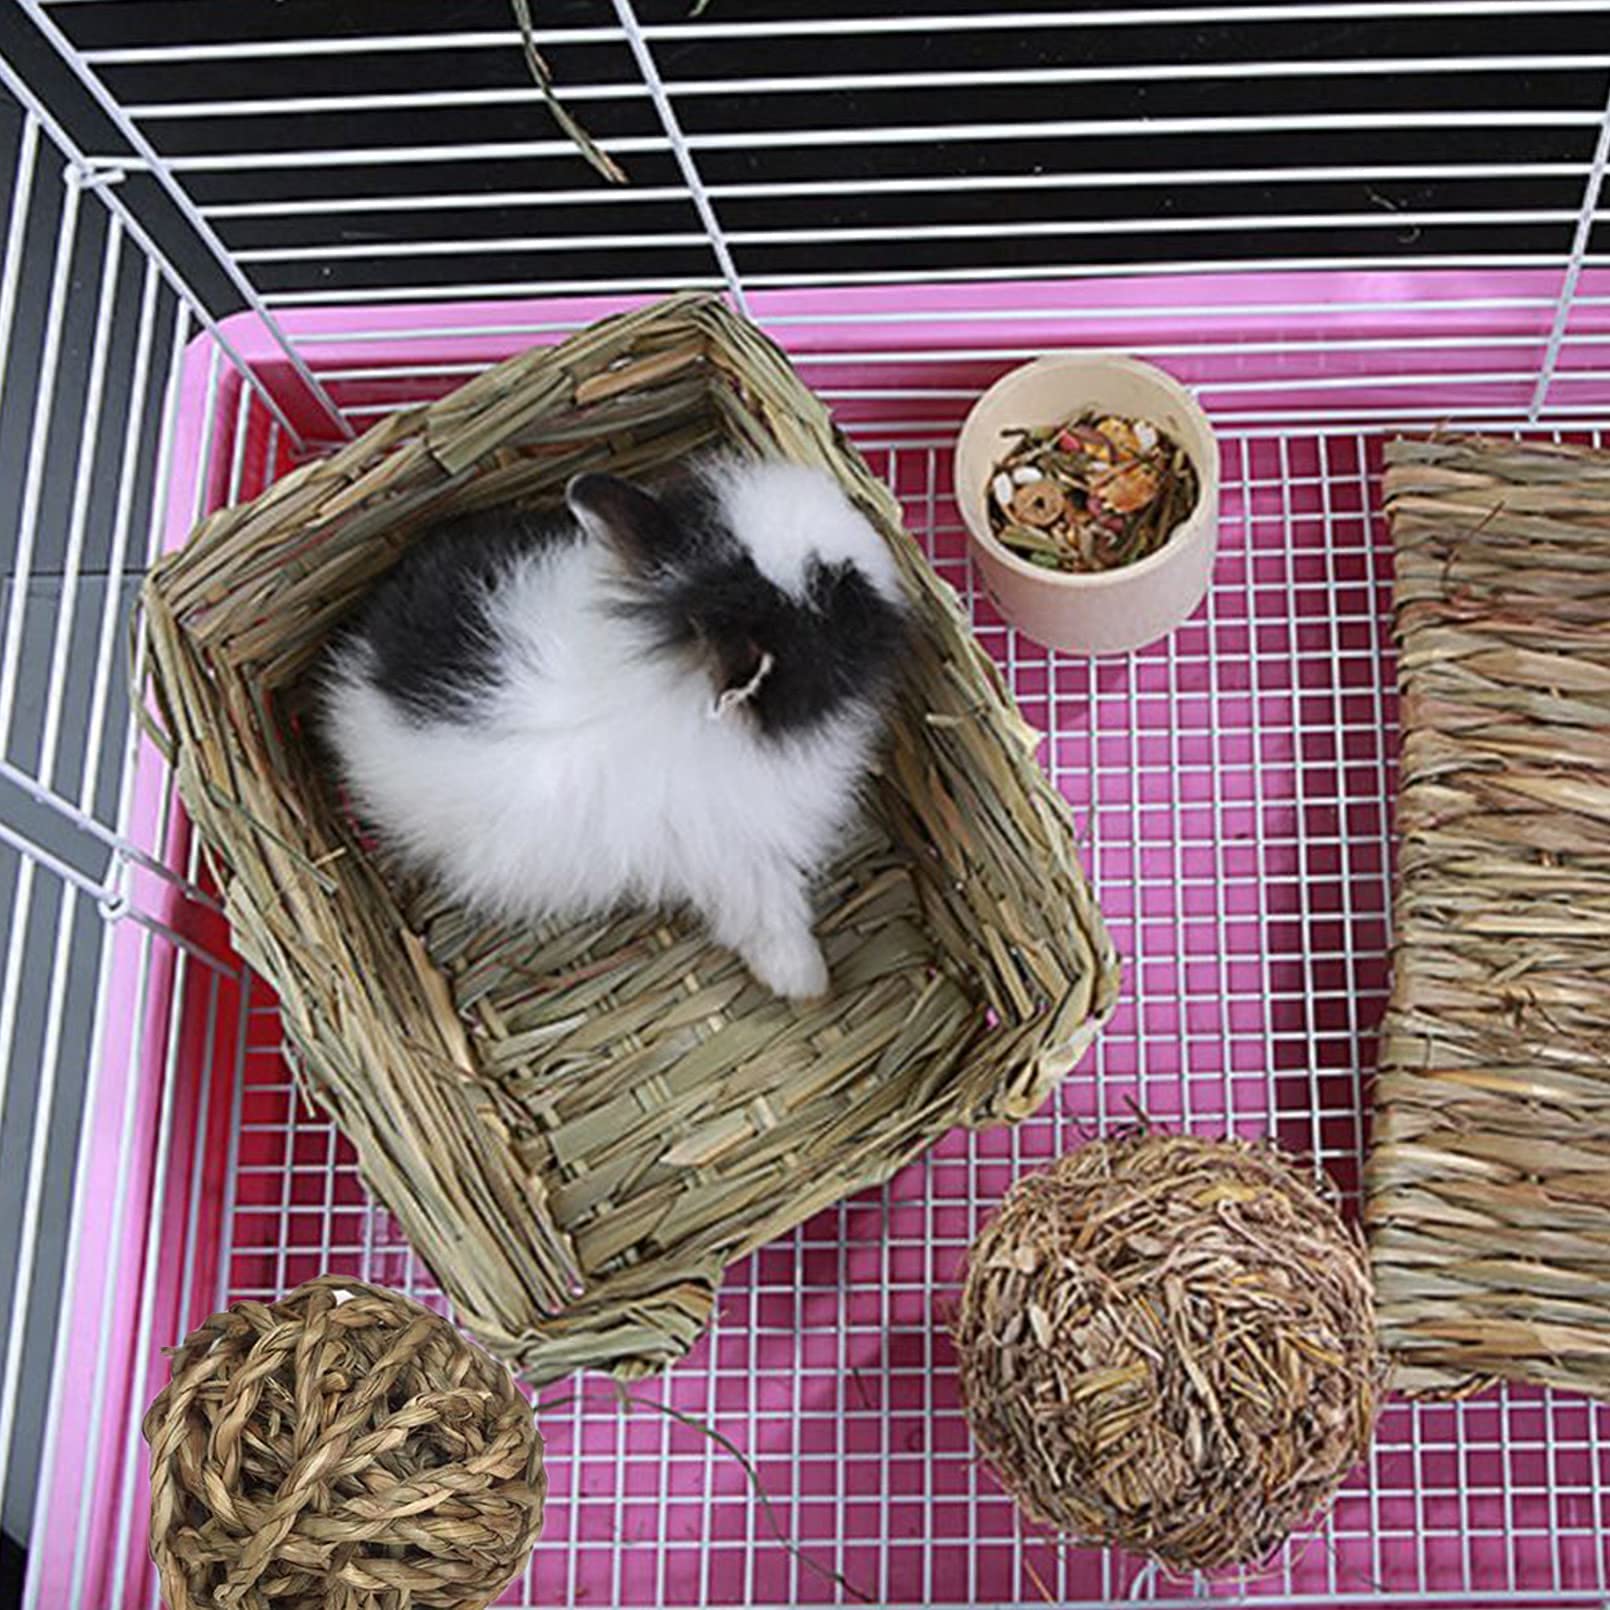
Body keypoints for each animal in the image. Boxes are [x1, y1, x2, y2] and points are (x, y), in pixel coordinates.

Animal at [318, 456, 909, 1001]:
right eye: (836, 595)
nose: (871, 536)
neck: (669, 669)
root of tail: (355, 667)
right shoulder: (737, 857)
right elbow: (769, 919)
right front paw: (808, 982)